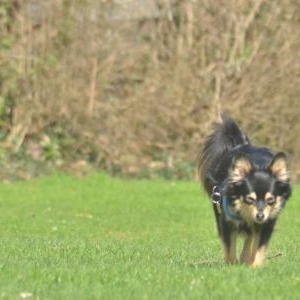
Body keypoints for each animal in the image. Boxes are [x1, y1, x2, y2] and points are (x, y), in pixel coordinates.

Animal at [198, 113, 292, 268]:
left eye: (271, 200)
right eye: (250, 199)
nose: (260, 216)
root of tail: (242, 144)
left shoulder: (267, 223)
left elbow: (259, 247)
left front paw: (255, 266)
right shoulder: (227, 222)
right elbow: (230, 247)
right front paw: (232, 265)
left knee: (250, 237)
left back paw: (245, 257)